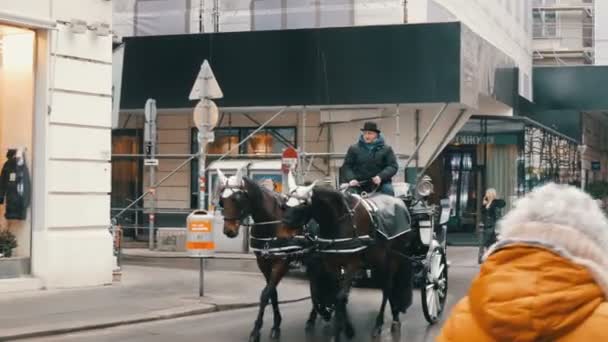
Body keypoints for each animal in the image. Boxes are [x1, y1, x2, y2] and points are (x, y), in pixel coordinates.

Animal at [217, 168, 334, 342]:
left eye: (237, 199)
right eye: (221, 200)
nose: (229, 231)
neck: (270, 224)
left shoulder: (282, 262)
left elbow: (265, 294)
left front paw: (256, 330)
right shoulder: (263, 262)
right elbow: (273, 293)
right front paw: (276, 325)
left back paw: (322, 313)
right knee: (315, 285)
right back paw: (314, 317)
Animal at [280, 182, 418, 340]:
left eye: (303, 203)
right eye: (285, 203)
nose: (284, 225)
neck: (339, 221)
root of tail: (400, 203)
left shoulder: (351, 265)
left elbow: (340, 296)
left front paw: (340, 331)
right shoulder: (331, 264)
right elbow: (336, 295)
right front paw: (344, 328)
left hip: (393, 259)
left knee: (387, 288)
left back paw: (381, 323)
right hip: (377, 261)